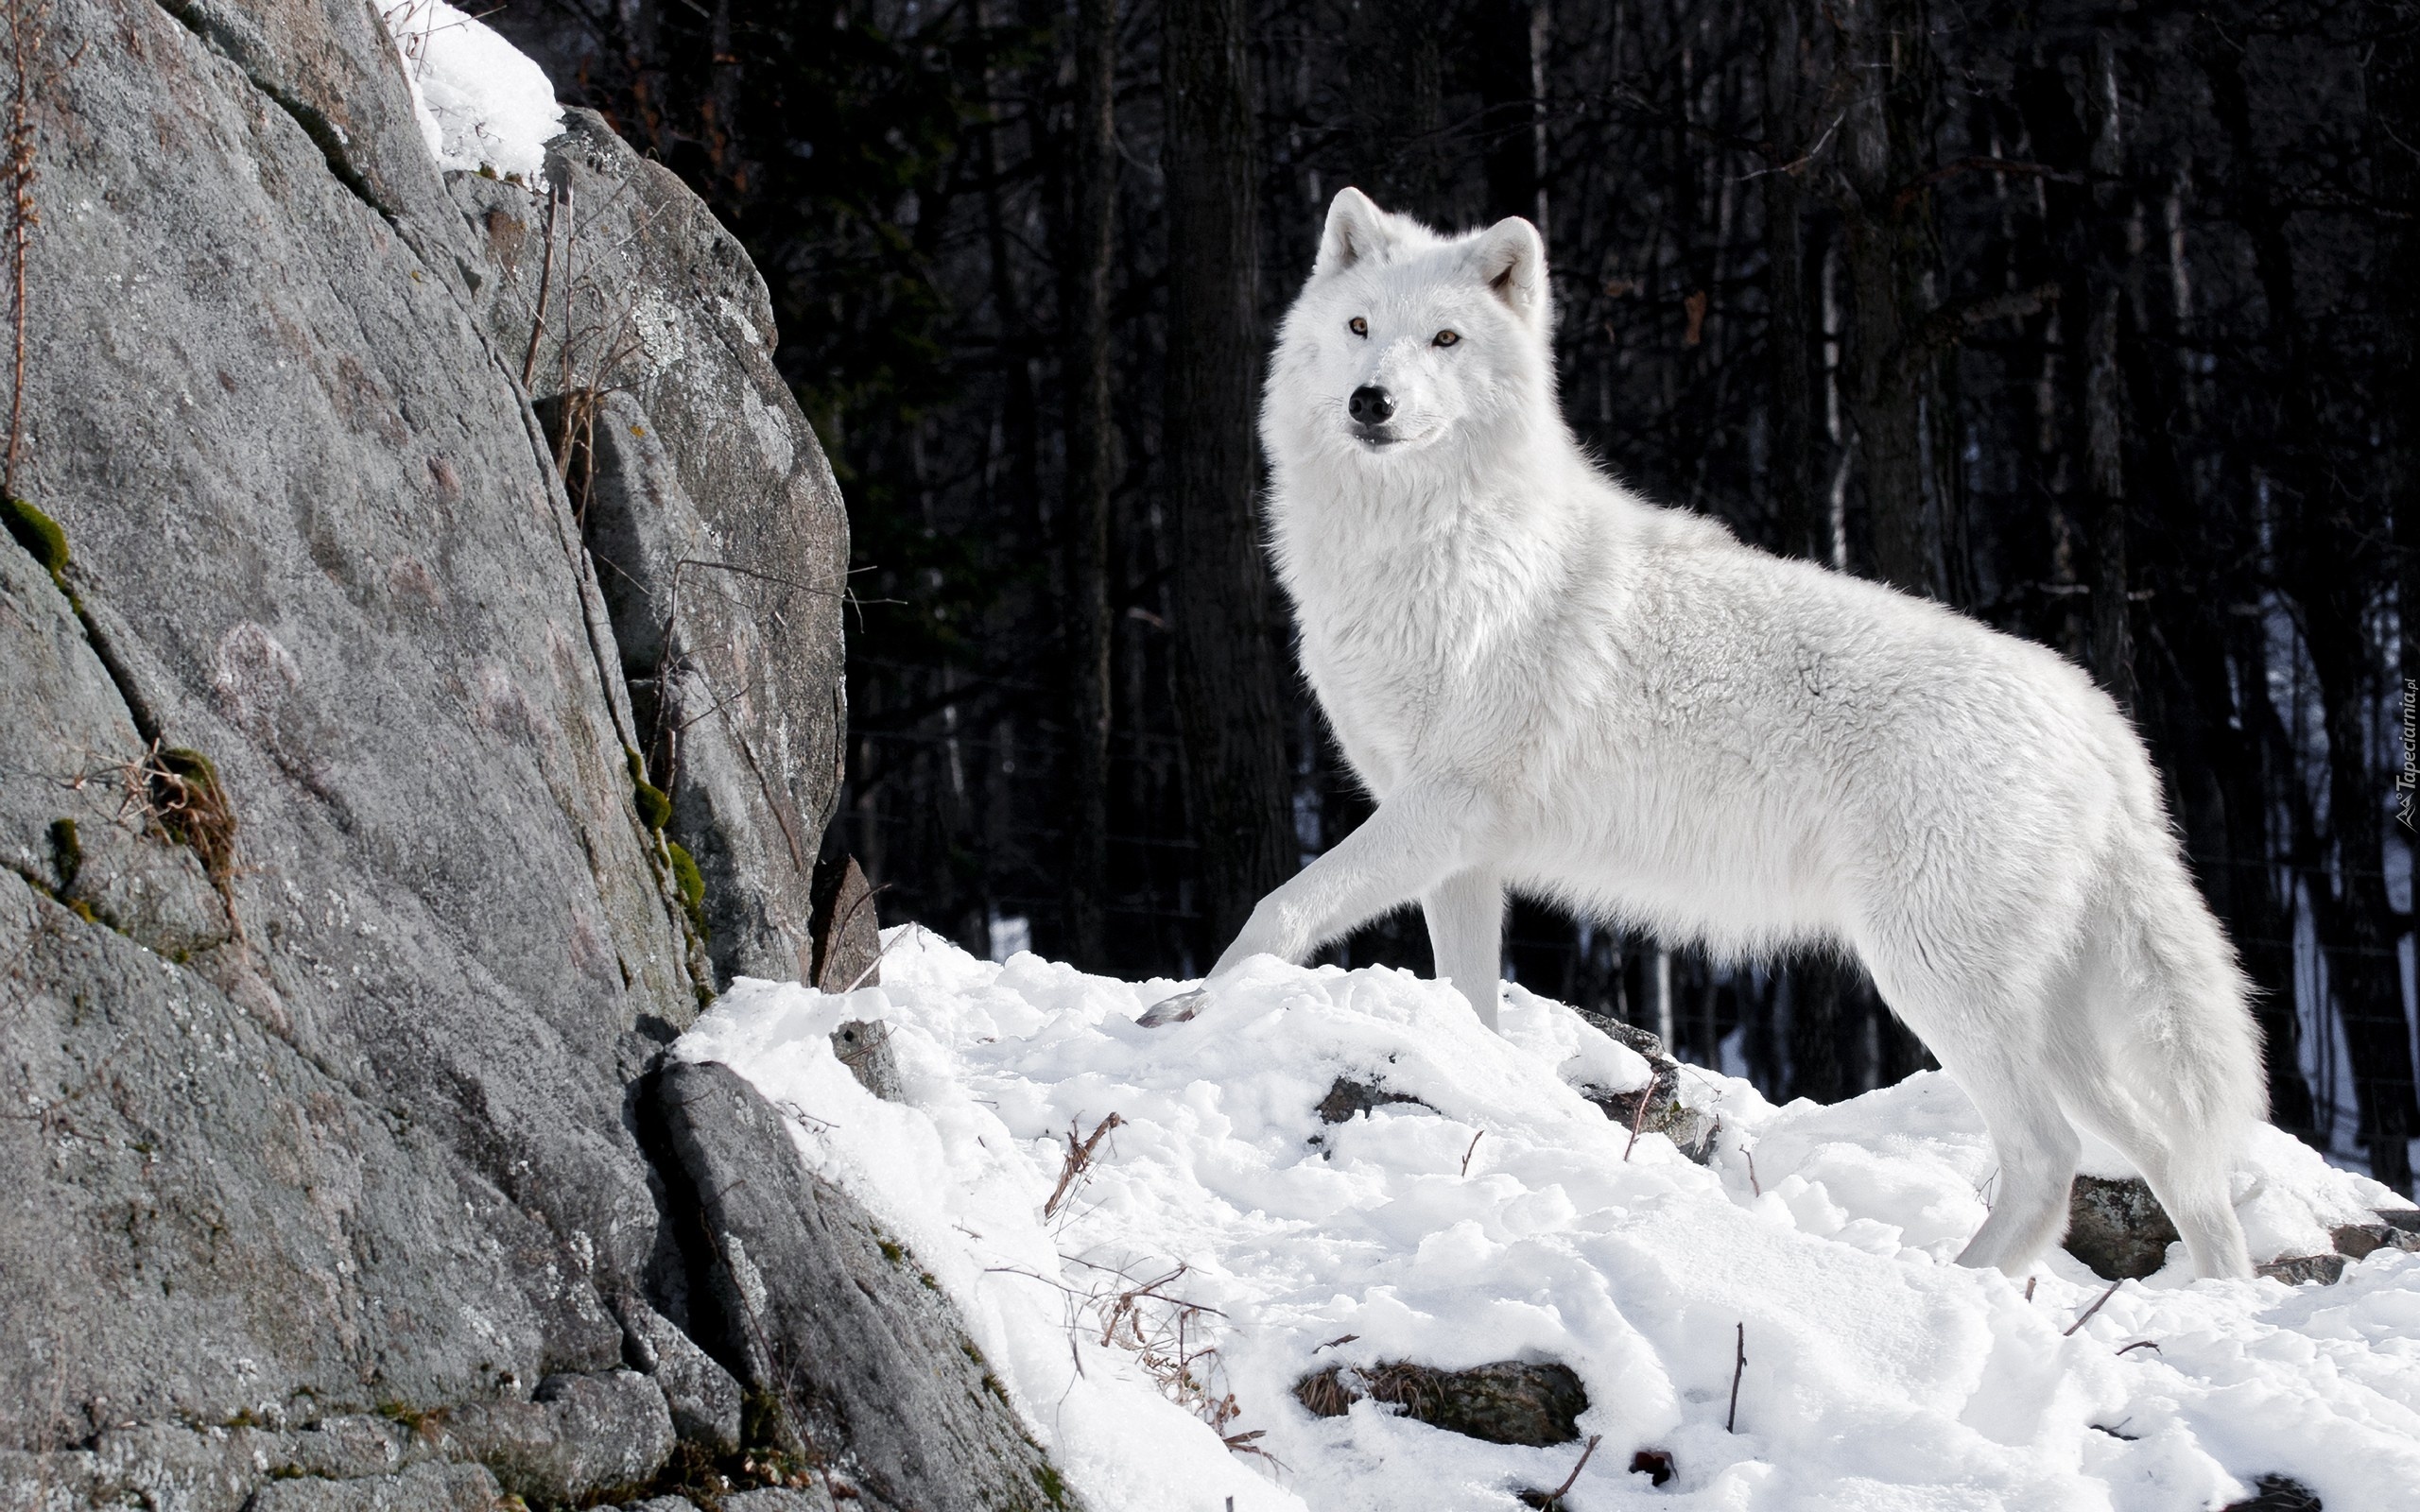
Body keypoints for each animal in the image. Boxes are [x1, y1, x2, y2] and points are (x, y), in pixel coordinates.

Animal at [1190, 186, 2265, 1277]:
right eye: (1360, 329)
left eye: (1445, 339)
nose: (1372, 401)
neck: (1428, 549)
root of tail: (2100, 721)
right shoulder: (1459, 854)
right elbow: (1469, 1007)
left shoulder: (1441, 807)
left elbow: (1275, 910)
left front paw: (1184, 1014)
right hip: (2047, 1021)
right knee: (2182, 1168)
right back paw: (2218, 1300)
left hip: (1931, 976)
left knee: (2050, 1160)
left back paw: (1950, 1287)